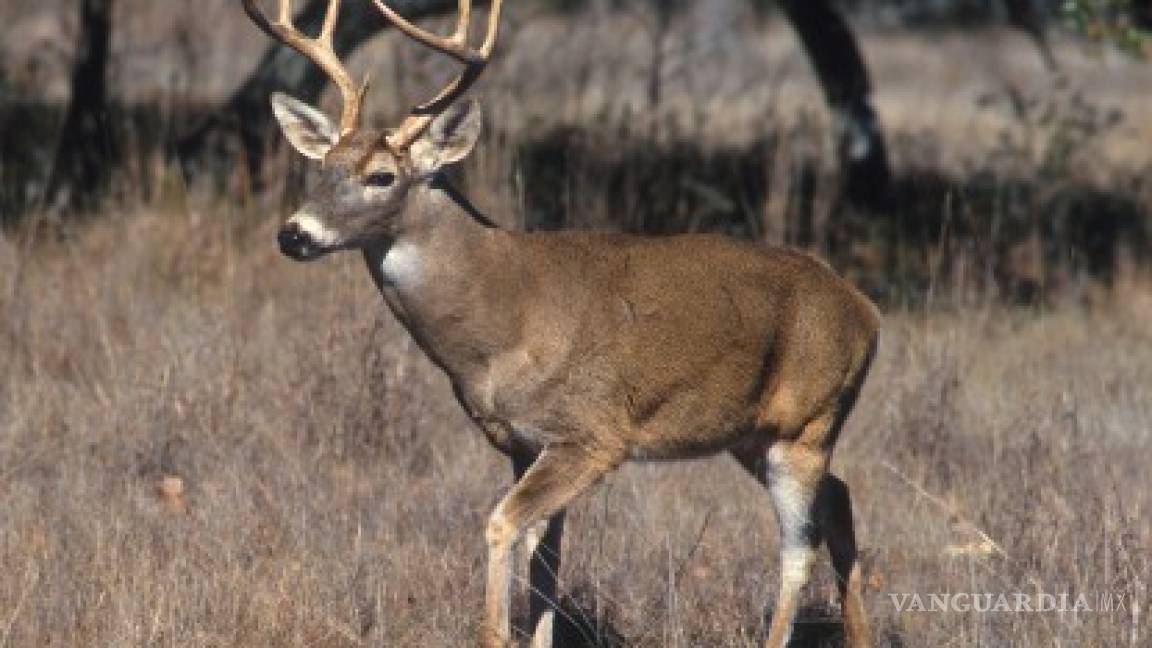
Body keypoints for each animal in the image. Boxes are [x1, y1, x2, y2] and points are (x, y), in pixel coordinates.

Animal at [245, 2, 880, 641]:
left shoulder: (592, 434)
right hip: (753, 434)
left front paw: (498, 632)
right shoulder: (523, 443)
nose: (293, 234)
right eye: (323, 168)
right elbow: (546, 555)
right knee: (841, 499)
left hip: (807, 424)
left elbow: (503, 526)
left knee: (798, 547)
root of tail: (866, 310)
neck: (500, 323)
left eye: (381, 176)